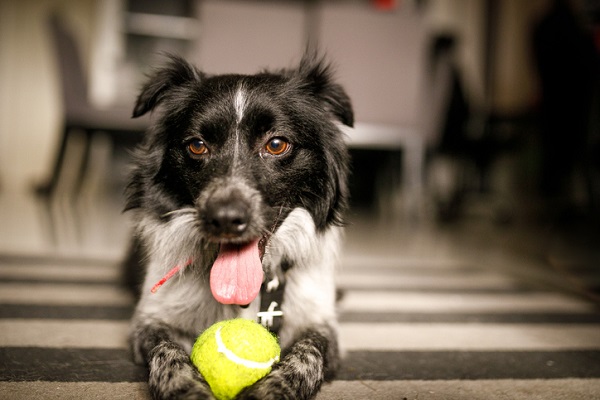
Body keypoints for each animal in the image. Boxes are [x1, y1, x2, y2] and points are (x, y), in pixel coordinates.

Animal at [125, 54, 352, 400]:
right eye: (197, 145)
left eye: (276, 144)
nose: (225, 218)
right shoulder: (151, 320)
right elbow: (166, 354)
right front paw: (187, 390)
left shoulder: (320, 322)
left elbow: (307, 353)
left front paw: (274, 389)